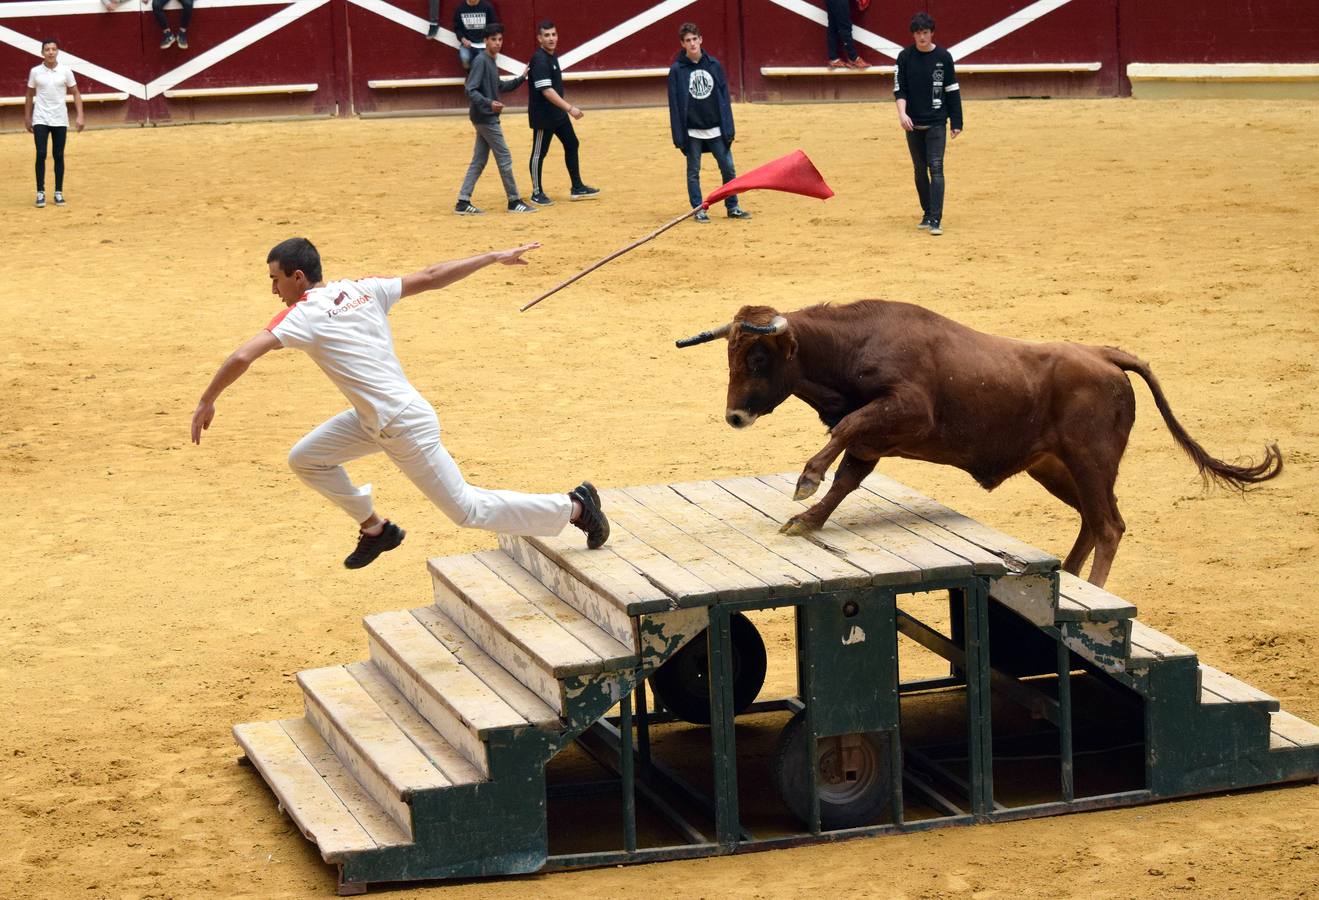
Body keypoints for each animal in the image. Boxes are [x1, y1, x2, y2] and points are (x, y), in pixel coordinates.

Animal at [675, 298, 1282, 585]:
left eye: (757, 357)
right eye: (730, 355)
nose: (734, 415)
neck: (853, 344)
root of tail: (1103, 355)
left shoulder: (905, 411)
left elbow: (844, 435)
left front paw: (805, 483)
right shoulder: (878, 437)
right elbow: (849, 475)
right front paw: (808, 519)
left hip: (1091, 459)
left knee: (1110, 524)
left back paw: (1095, 586)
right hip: (1054, 466)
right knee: (1092, 519)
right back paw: (1070, 576)